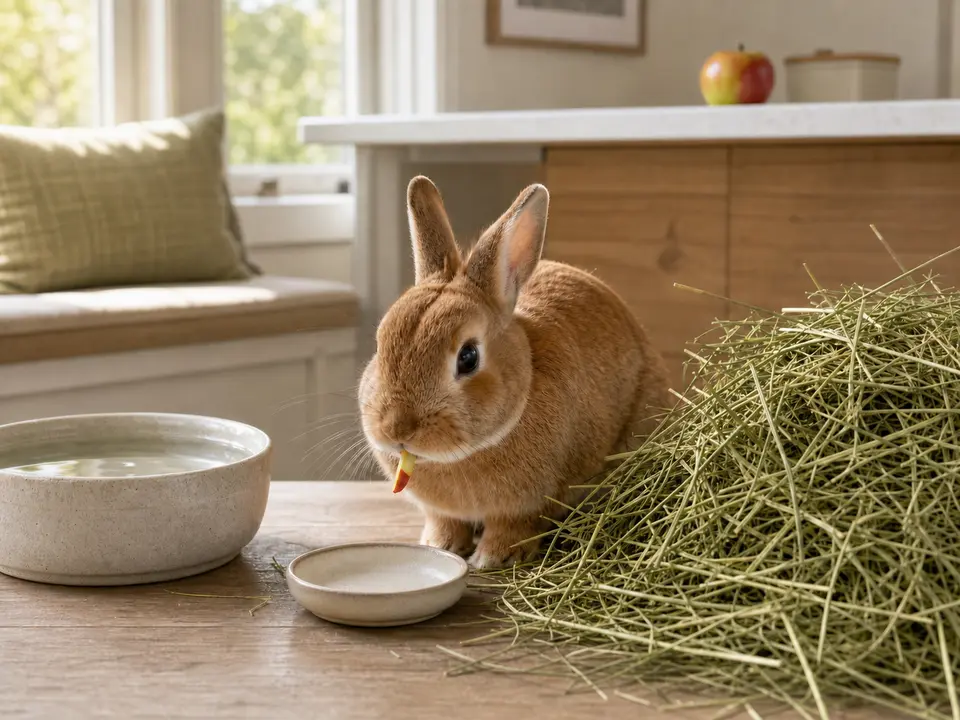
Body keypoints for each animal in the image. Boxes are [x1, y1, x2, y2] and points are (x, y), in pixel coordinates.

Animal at [357, 175, 670, 569]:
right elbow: (445, 522)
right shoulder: (442, 511)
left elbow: (514, 527)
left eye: (468, 357)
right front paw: (440, 544)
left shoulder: (529, 505)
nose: (398, 429)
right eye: (380, 343)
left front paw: (493, 558)